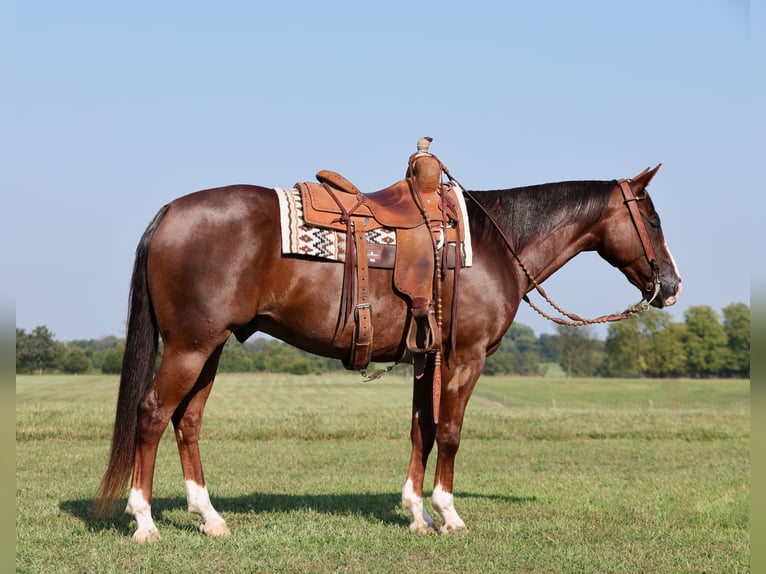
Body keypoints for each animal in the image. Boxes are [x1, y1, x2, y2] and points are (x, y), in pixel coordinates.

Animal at [94, 164, 684, 544]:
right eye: (653, 221)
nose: (673, 286)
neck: (495, 244)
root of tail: (170, 212)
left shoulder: (427, 358)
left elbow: (422, 429)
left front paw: (416, 514)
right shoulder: (465, 357)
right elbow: (450, 431)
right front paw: (448, 515)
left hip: (209, 348)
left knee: (187, 421)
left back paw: (209, 517)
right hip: (190, 347)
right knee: (153, 415)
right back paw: (145, 522)